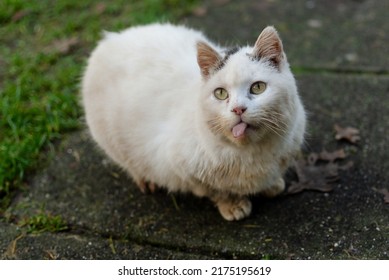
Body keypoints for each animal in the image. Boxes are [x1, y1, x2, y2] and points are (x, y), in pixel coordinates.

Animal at [81, 23, 306, 221]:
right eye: (220, 93)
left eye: (258, 87)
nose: (238, 109)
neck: (252, 153)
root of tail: (110, 39)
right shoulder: (182, 168)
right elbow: (217, 191)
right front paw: (233, 205)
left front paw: (272, 185)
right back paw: (145, 180)